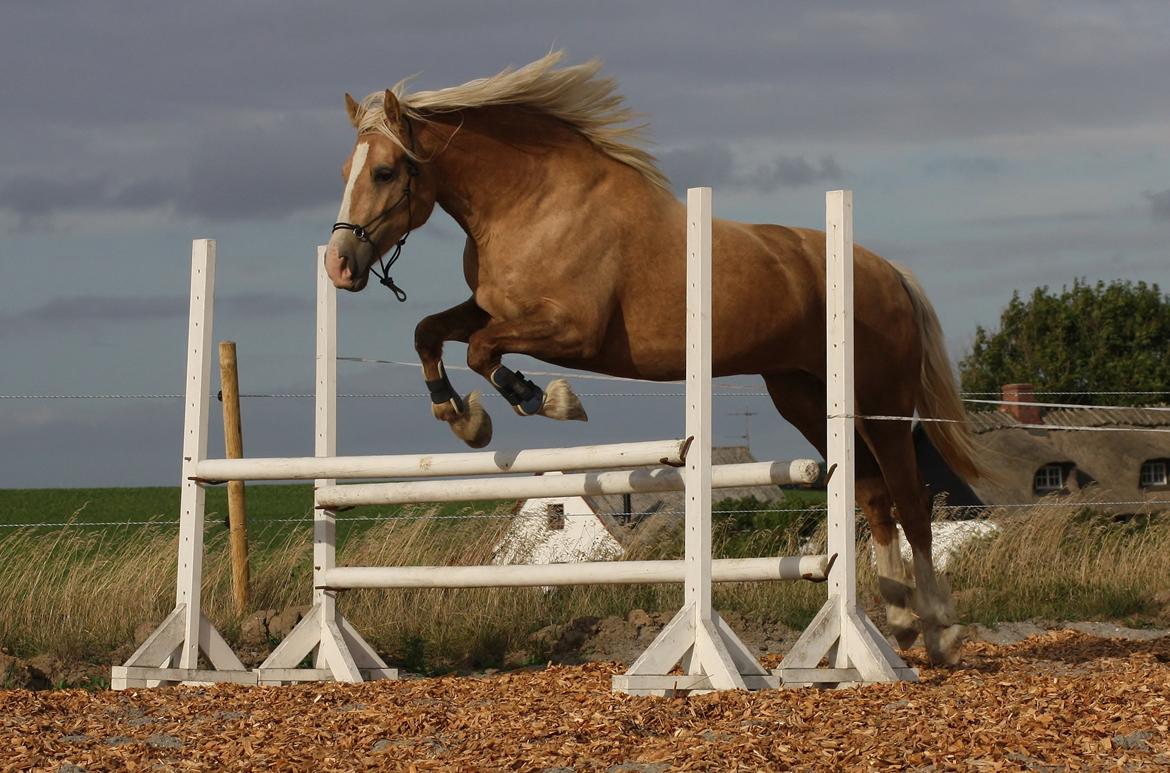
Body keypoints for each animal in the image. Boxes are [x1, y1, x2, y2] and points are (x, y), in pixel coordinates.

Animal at [320, 49, 978, 664]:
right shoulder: (491, 309)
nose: (339, 266)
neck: (530, 203)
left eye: (384, 171)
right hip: (803, 395)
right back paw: (898, 622)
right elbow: (428, 332)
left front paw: (543, 400)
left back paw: (940, 632)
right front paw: (461, 417)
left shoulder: (570, 331)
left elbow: (484, 352)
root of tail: (888, 271)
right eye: (345, 171)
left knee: (911, 498)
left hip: (880, 398)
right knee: (871, 492)